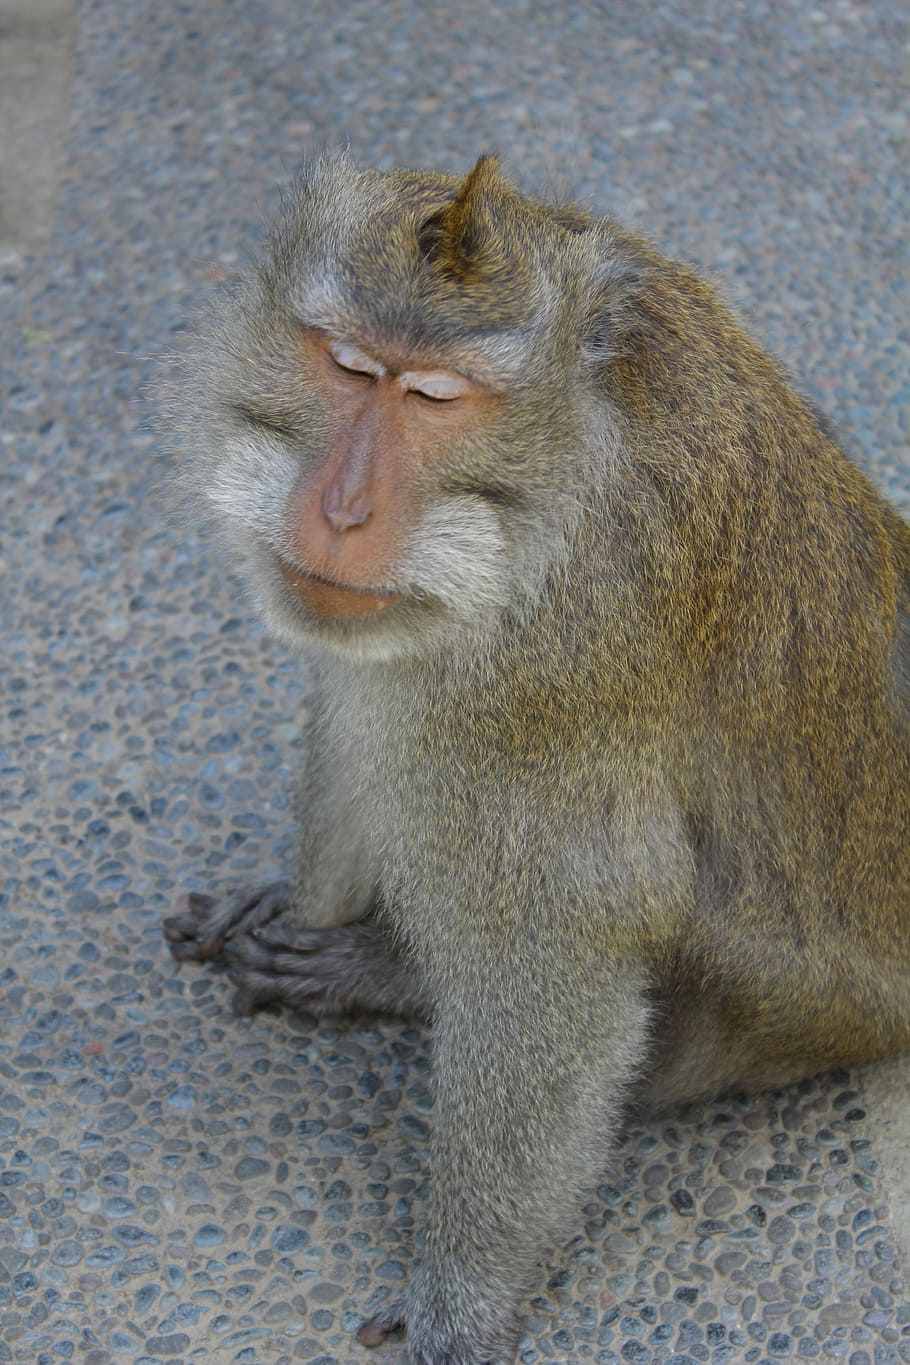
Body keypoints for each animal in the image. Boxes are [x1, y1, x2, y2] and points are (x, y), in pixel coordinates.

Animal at [162, 152, 910, 1365]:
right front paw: (307, 901)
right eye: (349, 366)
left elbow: (563, 962)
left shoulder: (564, 646)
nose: (340, 509)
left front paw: (460, 1305)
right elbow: (366, 684)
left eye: (433, 398)